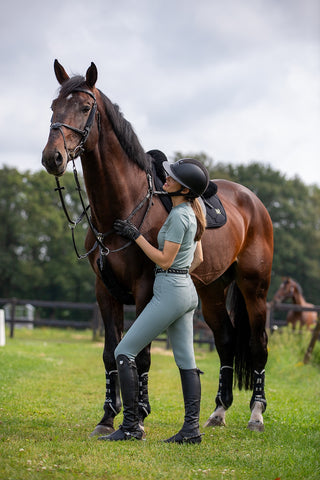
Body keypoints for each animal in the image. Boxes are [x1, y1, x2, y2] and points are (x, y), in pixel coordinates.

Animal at [41, 60, 274, 436]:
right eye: (53, 106)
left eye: (86, 107)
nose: (53, 157)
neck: (123, 208)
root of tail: (253, 202)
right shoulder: (104, 292)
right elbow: (110, 352)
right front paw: (108, 417)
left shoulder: (146, 289)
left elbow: (143, 353)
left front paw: (139, 415)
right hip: (212, 289)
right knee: (225, 341)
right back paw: (218, 411)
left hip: (255, 288)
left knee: (258, 345)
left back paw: (256, 414)